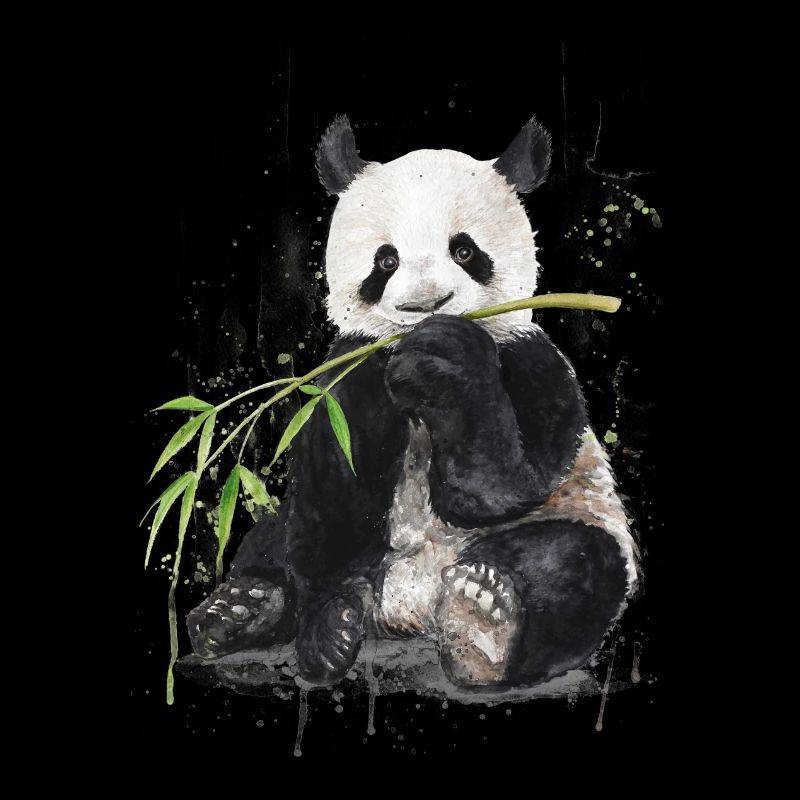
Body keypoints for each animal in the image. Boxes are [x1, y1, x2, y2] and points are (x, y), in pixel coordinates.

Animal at [187, 115, 639, 690]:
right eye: (386, 260)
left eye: (465, 251)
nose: (425, 305)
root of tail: (410, 613)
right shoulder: (341, 376)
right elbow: (335, 496)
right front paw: (324, 635)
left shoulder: (533, 360)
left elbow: (505, 483)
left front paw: (446, 361)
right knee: (273, 541)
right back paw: (247, 612)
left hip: (582, 517)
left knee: (573, 564)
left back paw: (483, 622)